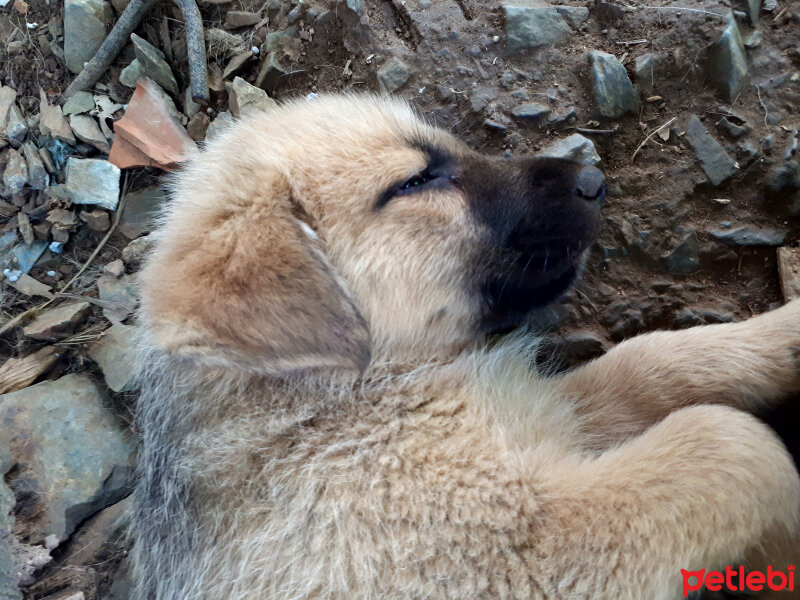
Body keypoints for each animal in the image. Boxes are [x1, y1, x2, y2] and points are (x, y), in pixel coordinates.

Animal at [133, 96, 800, 596]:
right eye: (414, 180)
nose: (594, 180)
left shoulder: (538, 416)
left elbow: (651, 363)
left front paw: (785, 334)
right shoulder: (513, 550)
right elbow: (727, 441)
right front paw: (782, 548)